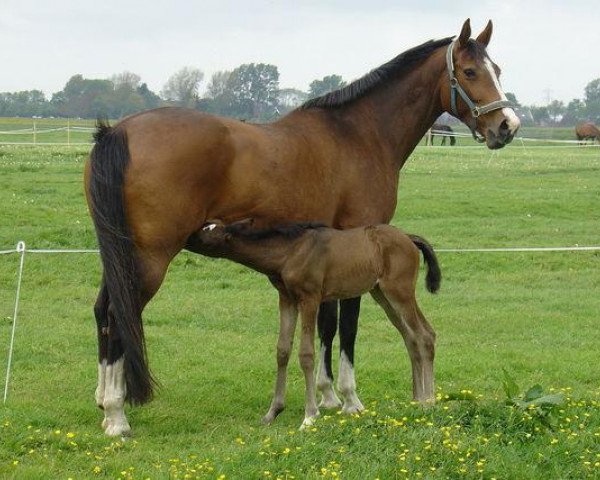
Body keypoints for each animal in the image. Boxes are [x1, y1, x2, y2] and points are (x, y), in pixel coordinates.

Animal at [197, 219, 440, 426]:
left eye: (207, 232)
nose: (190, 236)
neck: (290, 251)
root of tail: (408, 238)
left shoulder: (310, 299)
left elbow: (306, 354)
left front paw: (310, 415)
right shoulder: (287, 299)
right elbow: (282, 350)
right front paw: (273, 411)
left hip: (400, 291)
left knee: (424, 335)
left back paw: (428, 401)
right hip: (381, 294)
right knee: (410, 337)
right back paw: (417, 399)